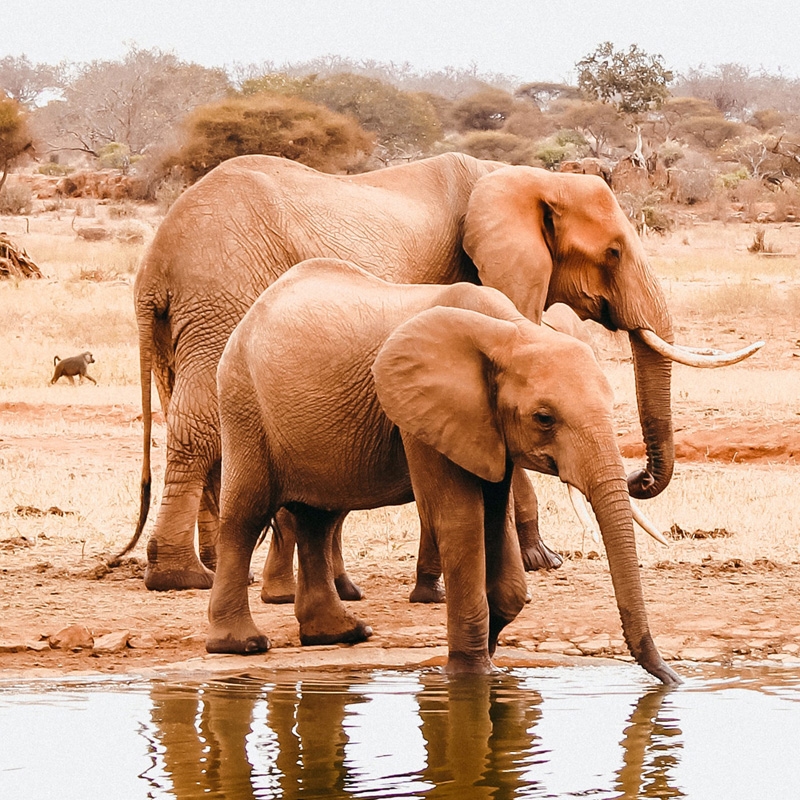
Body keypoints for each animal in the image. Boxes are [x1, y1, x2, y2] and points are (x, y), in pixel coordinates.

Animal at [120, 150, 764, 592]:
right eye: (612, 252)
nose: (637, 478)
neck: (517, 177)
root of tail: (154, 265)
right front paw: (542, 561)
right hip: (221, 296)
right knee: (200, 423)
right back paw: (184, 578)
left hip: (191, 317)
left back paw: (226, 570)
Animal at [208, 258, 680, 688]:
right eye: (544, 419)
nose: (671, 679)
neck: (510, 332)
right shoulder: (420, 414)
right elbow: (460, 520)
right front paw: (469, 675)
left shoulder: (486, 427)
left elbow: (495, 520)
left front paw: (490, 656)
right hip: (243, 401)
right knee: (246, 515)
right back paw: (241, 644)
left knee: (317, 519)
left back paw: (340, 635)